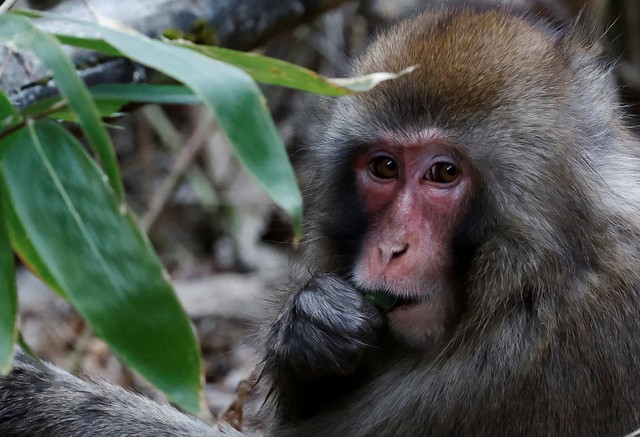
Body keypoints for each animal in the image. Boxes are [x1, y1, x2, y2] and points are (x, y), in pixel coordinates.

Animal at [4, 4, 640, 437]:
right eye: (384, 167)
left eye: (443, 173)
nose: (391, 249)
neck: (552, 263)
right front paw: (311, 327)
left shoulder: (521, 363)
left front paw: (31, 396)